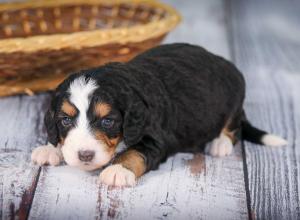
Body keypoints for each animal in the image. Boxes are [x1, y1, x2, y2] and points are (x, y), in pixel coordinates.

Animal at [31, 43, 288, 186]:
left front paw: (117, 170)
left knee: (234, 125)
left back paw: (219, 143)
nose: (84, 155)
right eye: (65, 120)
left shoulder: (154, 139)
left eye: (108, 121)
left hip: (234, 96)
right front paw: (50, 148)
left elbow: (134, 153)